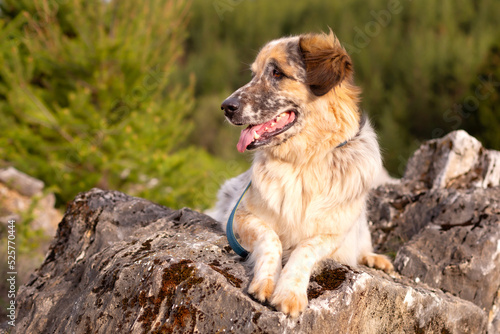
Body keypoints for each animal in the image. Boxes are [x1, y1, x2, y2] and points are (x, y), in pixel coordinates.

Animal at [209, 30, 392, 318]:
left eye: (276, 73)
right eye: (254, 74)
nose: (226, 106)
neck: (304, 161)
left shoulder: (333, 234)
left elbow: (305, 249)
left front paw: (290, 292)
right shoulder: (238, 216)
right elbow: (271, 238)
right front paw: (266, 281)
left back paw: (375, 259)